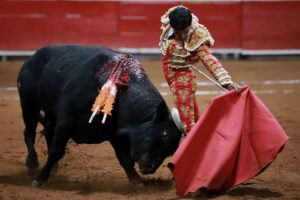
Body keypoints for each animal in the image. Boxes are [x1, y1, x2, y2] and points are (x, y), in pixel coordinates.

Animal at [18, 45, 183, 188]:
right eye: (164, 134)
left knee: (48, 133)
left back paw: (52, 169)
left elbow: (125, 159)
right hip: (29, 103)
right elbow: (56, 151)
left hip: (50, 112)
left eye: (171, 151)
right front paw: (39, 179)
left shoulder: (115, 134)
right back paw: (32, 164)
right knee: (29, 133)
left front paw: (137, 182)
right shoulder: (65, 123)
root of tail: (32, 58)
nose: (149, 168)